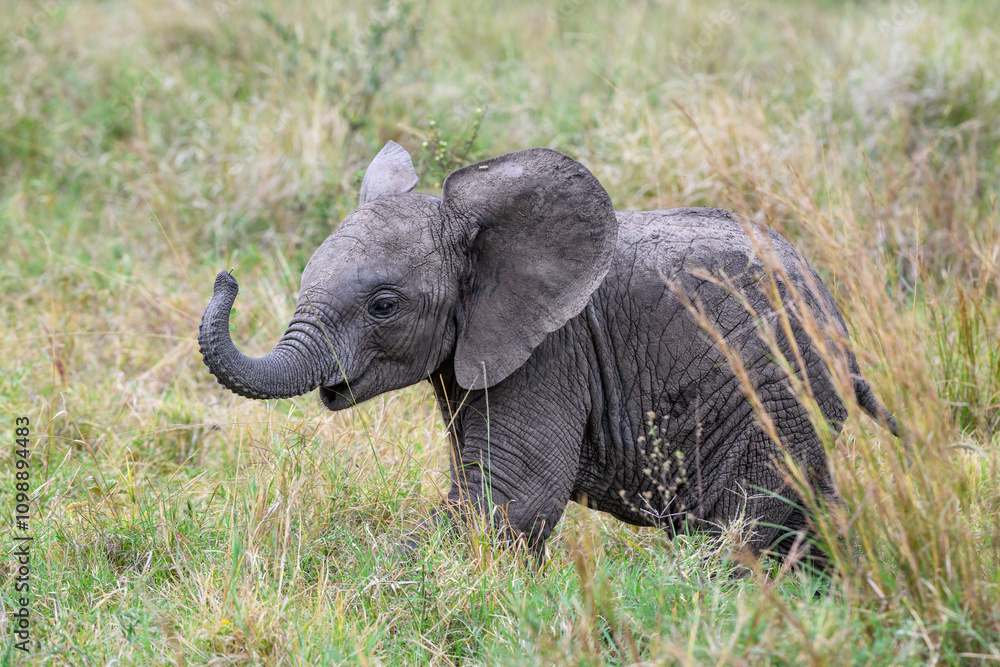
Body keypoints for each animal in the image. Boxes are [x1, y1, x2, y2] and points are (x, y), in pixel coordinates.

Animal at [199, 141, 898, 563]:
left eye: (383, 305)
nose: (225, 276)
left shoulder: (553, 353)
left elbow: (512, 496)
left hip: (775, 394)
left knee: (756, 524)